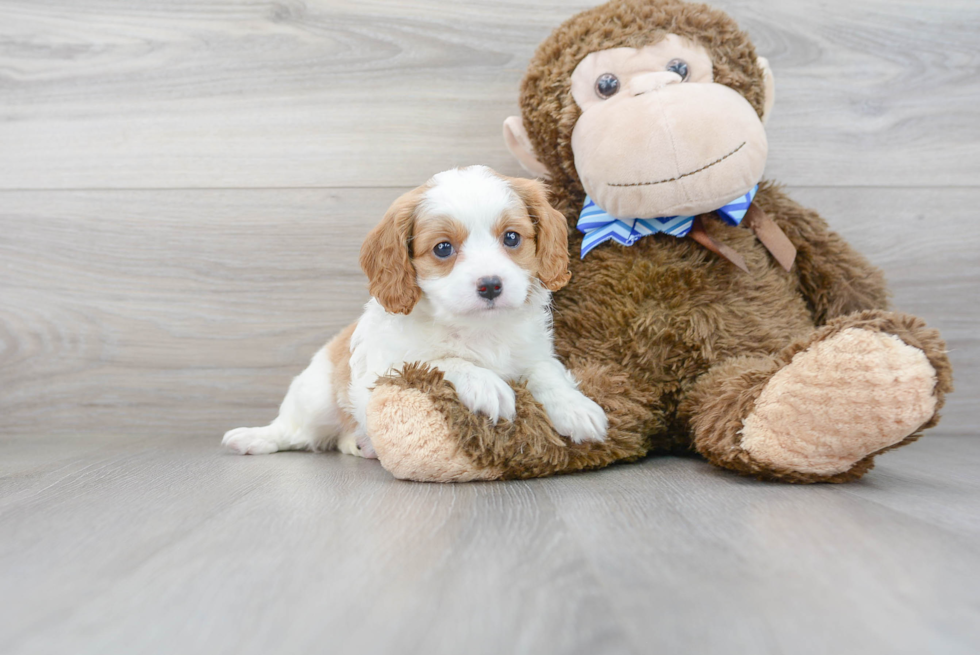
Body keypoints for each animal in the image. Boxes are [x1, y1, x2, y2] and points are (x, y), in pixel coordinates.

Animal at [222, 167, 604, 458]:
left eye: (511, 238)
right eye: (443, 248)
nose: (491, 285)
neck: (476, 328)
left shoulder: (534, 353)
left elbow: (547, 372)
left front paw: (576, 407)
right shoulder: (386, 371)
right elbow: (440, 360)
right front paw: (485, 383)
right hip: (316, 397)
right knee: (294, 430)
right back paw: (255, 437)